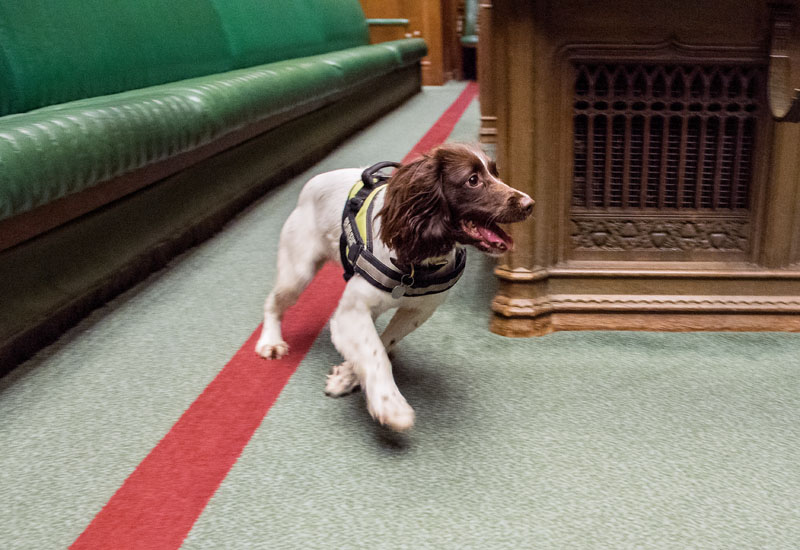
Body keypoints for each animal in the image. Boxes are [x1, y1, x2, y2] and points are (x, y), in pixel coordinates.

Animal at [253, 143, 536, 436]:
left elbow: (381, 341)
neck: (414, 262)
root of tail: (314, 179)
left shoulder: (419, 311)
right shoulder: (350, 312)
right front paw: (390, 406)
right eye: (472, 180)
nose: (529, 204)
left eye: (495, 172)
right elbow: (375, 352)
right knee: (273, 303)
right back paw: (270, 342)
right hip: (297, 272)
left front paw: (347, 376)